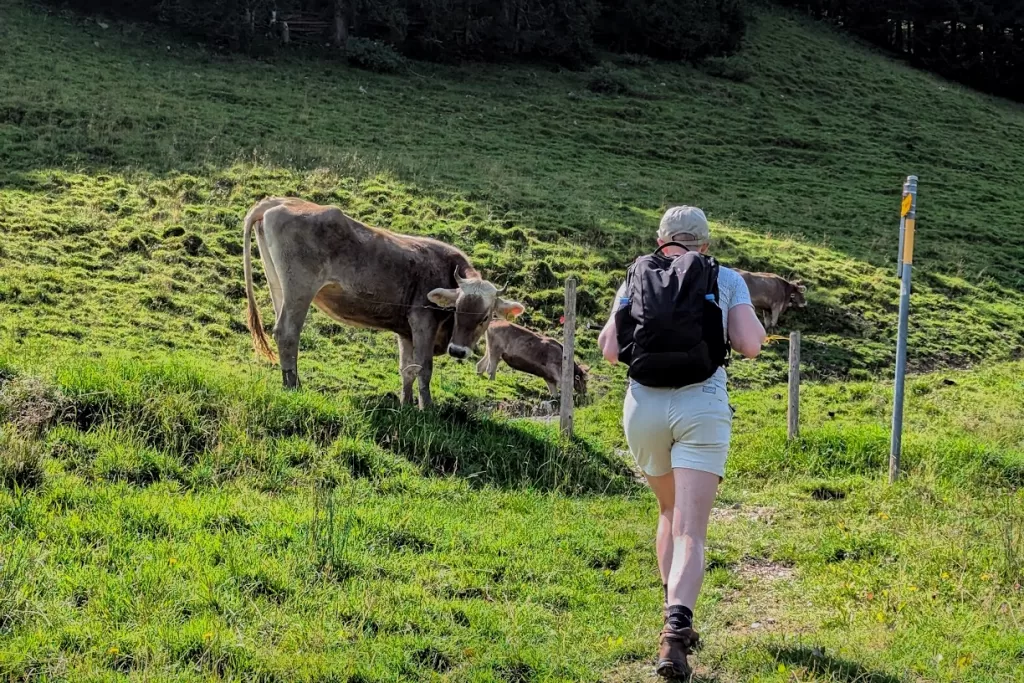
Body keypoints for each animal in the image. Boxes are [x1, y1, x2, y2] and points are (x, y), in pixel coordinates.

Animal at [242, 194, 524, 409]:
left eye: (485, 317)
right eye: (456, 311)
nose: (457, 351)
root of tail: (280, 200)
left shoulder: (406, 331)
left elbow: (406, 369)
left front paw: (405, 405)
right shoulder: (423, 321)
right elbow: (424, 368)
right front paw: (427, 410)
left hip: (278, 286)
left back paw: (291, 382)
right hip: (300, 288)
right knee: (288, 332)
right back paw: (294, 387)